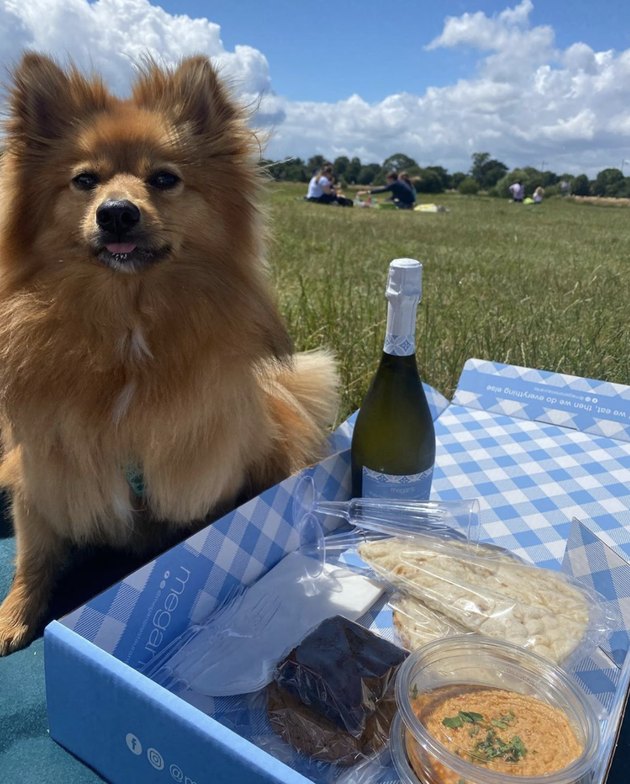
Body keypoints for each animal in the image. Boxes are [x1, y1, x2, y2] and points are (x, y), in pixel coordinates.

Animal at [0, 55, 340, 652]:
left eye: (163, 179)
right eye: (85, 181)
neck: (128, 326)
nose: (116, 213)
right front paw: (15, 614)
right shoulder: (43, 472)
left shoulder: (195, 476)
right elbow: (33, 555)